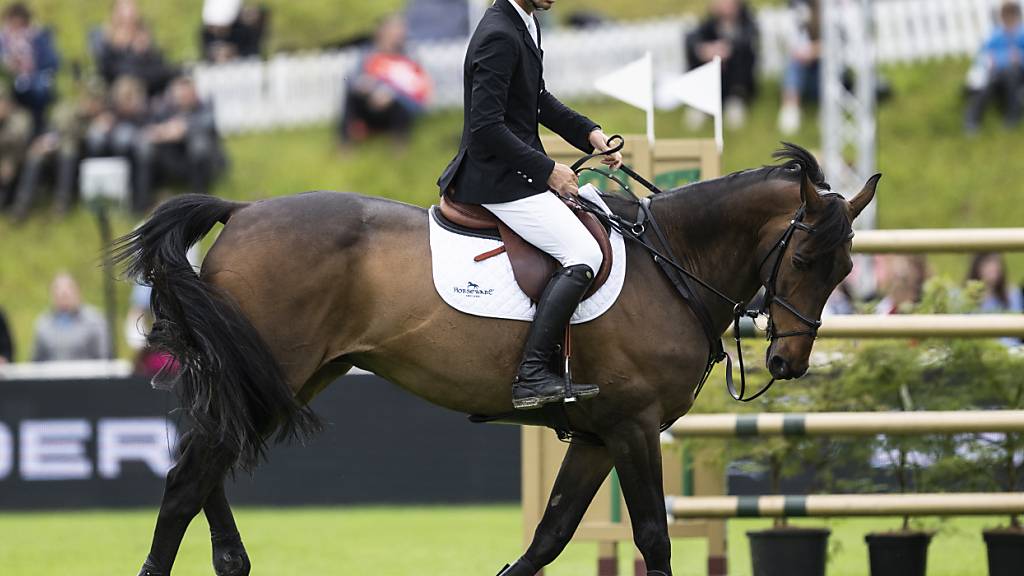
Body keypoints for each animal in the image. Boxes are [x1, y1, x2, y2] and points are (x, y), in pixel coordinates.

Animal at [116, 143, 876, 573]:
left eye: (844, 270)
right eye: (803, 259)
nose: (788, 363)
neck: (671, 265)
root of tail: (242, 212)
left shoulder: (598, 435)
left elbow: (550, 536)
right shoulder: (633, 427)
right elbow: (654, 537)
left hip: (285, 378)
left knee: (203, 468)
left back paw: (231, 561)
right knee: (186, 480)